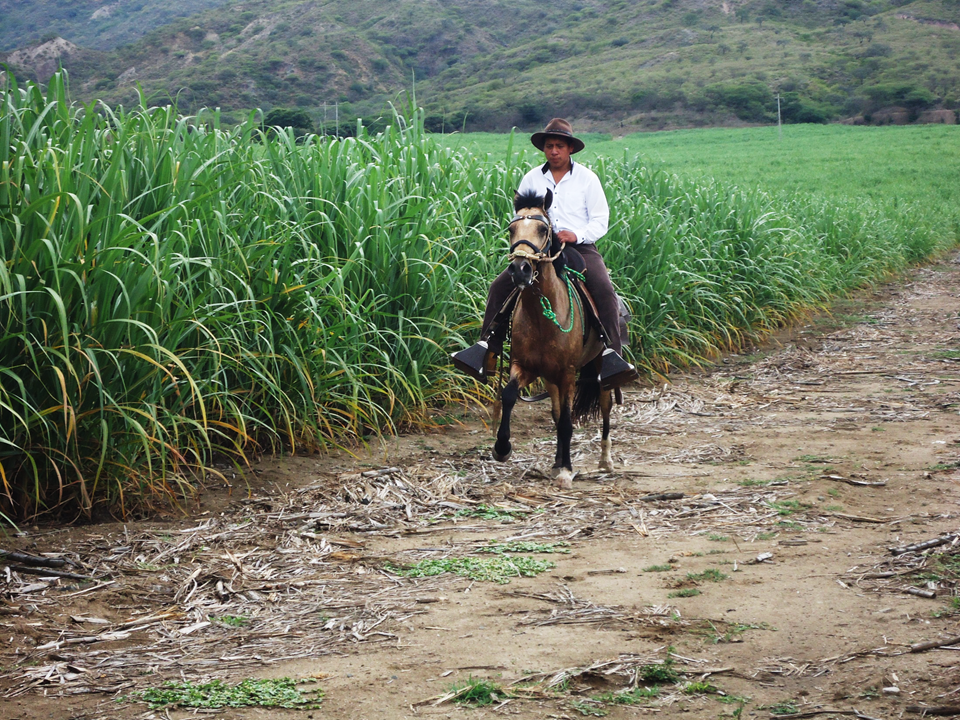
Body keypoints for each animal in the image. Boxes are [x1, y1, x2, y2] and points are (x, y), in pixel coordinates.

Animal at [496, 190, 616, 490]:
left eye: (542, 229)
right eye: (511, 229)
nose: (520, 269)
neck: (542, 316)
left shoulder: (568, 373)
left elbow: (567, 423)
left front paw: (566, 472)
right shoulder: (525, 366)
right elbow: (510, 395)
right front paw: (502, 448)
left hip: (599, 367)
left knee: (605, 406)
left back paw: (605, 460)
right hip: (550, 378)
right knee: (556, 411)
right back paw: (557, 461)